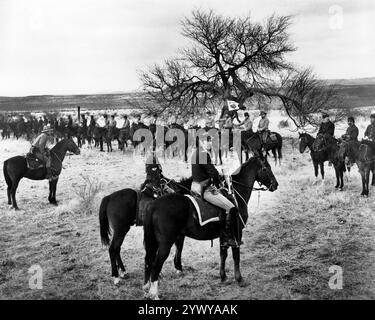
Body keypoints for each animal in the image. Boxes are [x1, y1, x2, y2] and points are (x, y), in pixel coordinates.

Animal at [144, 157, 280, 300]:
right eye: (266, 168)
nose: (275, 184)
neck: (235, 195)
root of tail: (155, 204)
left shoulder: (224, 235)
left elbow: (223, 254)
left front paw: (223, 277)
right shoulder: (237, 233)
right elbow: (236, 255)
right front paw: (239, 279)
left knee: (149, 261)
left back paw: (147, 289)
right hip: (166, 244)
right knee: (156, 265)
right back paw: (154, 294)